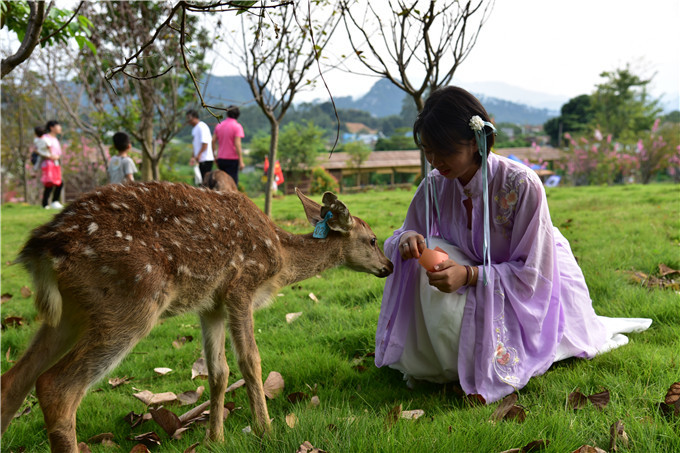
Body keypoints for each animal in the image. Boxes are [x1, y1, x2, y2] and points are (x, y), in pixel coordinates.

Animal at [0, 182, 394, 450]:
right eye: (373, 239)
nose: (389, 266)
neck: (280, 260)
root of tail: (41, 249)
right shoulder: (240, 287)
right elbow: (250, 360)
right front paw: (266, 430)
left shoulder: (211, 306)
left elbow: (218, 372)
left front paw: (214, 438)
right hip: (132, 300)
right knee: (56, 386)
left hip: (73, 312)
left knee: (15, 379)